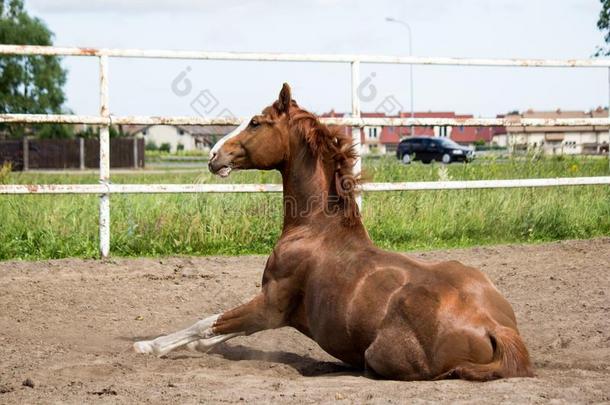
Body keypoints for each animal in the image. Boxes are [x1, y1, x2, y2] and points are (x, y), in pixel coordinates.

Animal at [134, 83, 532, 380]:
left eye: (256, 122)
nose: (214, 156)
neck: (315, 230)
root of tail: (494, 328)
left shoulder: (270, 307)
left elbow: (207, 322)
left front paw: (147, 346)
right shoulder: (273, 312)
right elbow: (215, 332)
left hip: (379, 356)